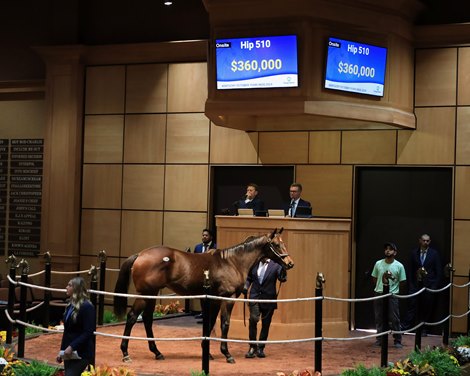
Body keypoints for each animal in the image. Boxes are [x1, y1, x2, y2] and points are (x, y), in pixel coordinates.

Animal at [112, 228, 292, 362]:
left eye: (283, 243)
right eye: (276, 244)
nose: (290, 263)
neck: (232, 262)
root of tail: (140, 255)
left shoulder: (213, 300)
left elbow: (210, 323)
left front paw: (209, 353)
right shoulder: (228, 298)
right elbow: (224, 323)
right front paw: (227, 354)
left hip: (152, 294)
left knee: (147, 319)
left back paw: (157, 352)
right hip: (145, 294)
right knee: (132, 317)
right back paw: (125, 353)